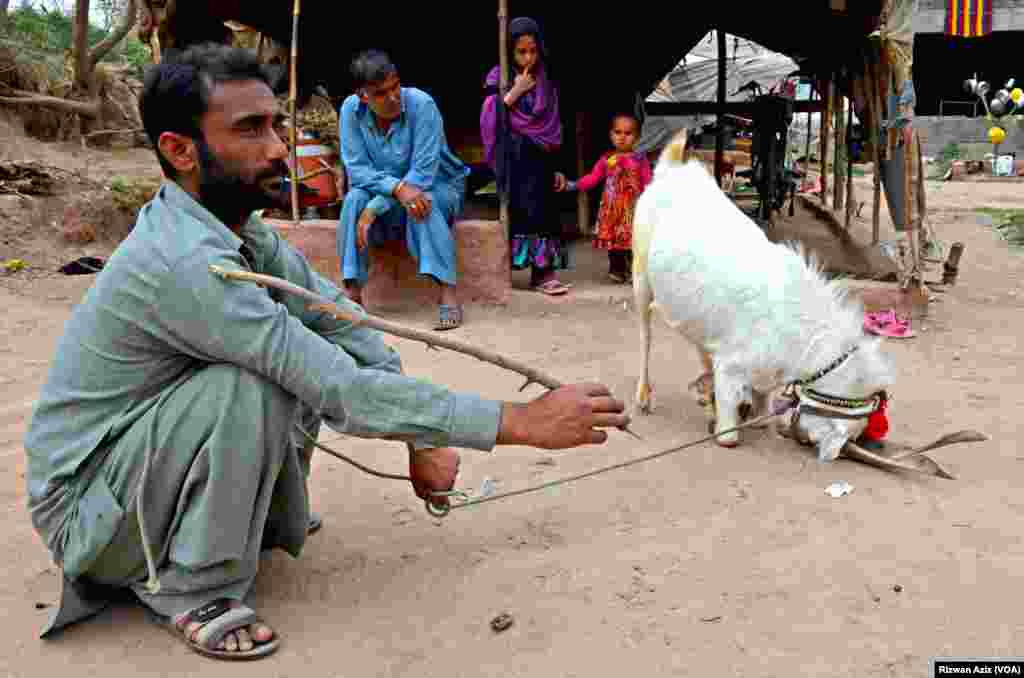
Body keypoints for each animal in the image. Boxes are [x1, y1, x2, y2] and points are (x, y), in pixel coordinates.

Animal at [634, 130, 892, 464]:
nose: (833, 452)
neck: (803, 332)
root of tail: (673, 169)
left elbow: (761, 397)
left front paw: (756, 416)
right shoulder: (732, 362)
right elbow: (729, 432)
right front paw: (726, 428)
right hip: (640, 273)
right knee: (645, 335)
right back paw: (644, 395)